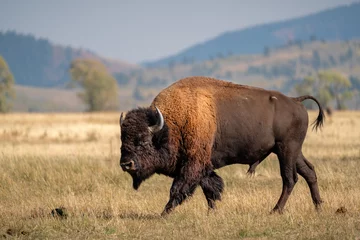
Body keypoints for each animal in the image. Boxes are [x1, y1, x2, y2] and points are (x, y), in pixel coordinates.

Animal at [119, 76, 324, 215]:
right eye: (122, 140)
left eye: (144, 140)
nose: (126, 164)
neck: (173, 124)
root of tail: (296, 101)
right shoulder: (203, 165)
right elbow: (210, 188)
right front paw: (212, 211)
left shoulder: (193, 164)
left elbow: (178, 188)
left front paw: (164, 214)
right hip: (293, 151)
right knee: (309, 172)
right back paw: (318, 206)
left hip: (286, 150)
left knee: (289, 179)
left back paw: (275, 210)